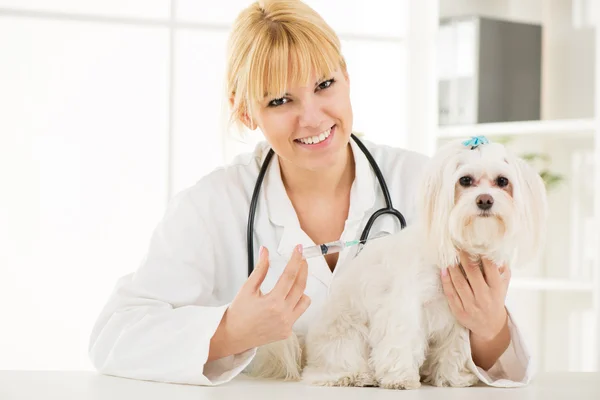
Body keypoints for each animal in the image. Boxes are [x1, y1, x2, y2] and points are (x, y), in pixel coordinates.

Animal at [244, 138, 548, 390]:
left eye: (502, 181)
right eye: (465, 180)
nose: (485, 200)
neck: (455, 248)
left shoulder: (458, 316)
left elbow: (455, 347)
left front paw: (452, 378)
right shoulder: (404, 308)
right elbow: (401, 340)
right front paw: (400, 379)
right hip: (346, 335)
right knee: (326, 370)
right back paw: (356, 376)